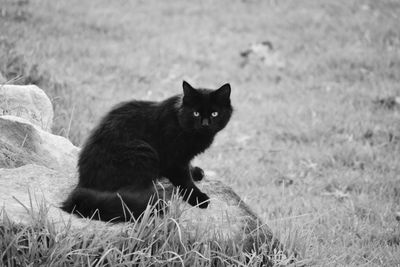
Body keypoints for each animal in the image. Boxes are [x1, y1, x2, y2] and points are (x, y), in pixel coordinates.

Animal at [61, 80, 233, 223]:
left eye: (214, 114)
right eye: (196, 113)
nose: (205, 124)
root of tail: (83, 183)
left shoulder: (183, 159)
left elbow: (188, 170)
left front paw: (196, 172)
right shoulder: (174, 161)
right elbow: (185, 181)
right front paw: (199, 198)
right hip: (143, 152)